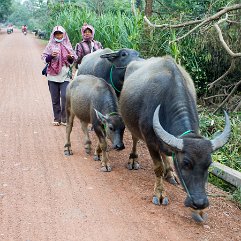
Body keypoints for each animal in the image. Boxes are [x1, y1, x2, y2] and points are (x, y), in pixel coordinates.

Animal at [119, 56, 231, 222]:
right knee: (135, 139)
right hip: (132, 125)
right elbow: (157, 167)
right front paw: (159, 193)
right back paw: (133, 159)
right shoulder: (150, 141)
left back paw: (170, 173)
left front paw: (200, 212)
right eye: (186, 163)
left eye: (209, 164)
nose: (200, 203)